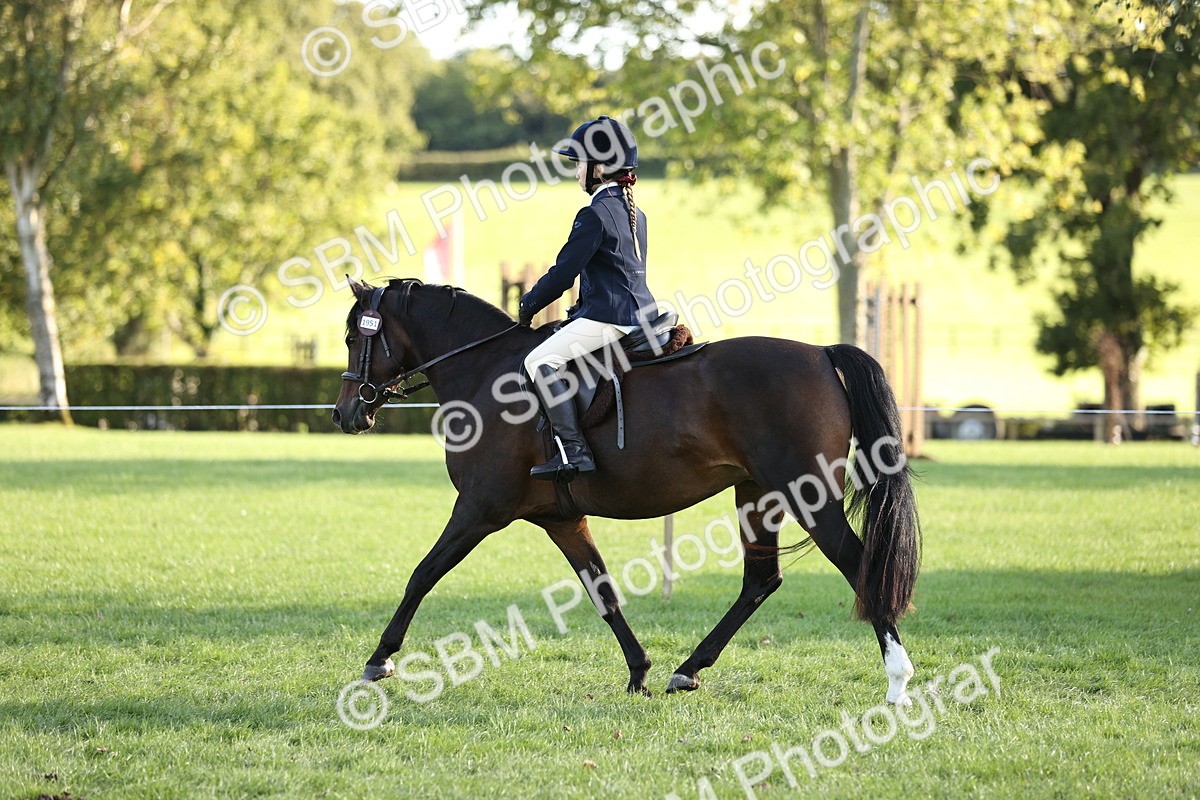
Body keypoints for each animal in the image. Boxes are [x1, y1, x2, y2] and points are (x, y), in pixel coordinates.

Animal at [332, 278, 921, 705]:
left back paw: (897, 680)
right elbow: (603, 591)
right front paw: (639, 671)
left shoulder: (479, 508)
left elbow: (422, 574)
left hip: (808, 496)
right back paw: (687, 671)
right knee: (761, 580)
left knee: (859, 565)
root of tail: (820, 353)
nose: (345, 415)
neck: (485, 373)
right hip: (757, 494)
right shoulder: (560, 518)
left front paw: (380, 659)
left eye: (354, 338)